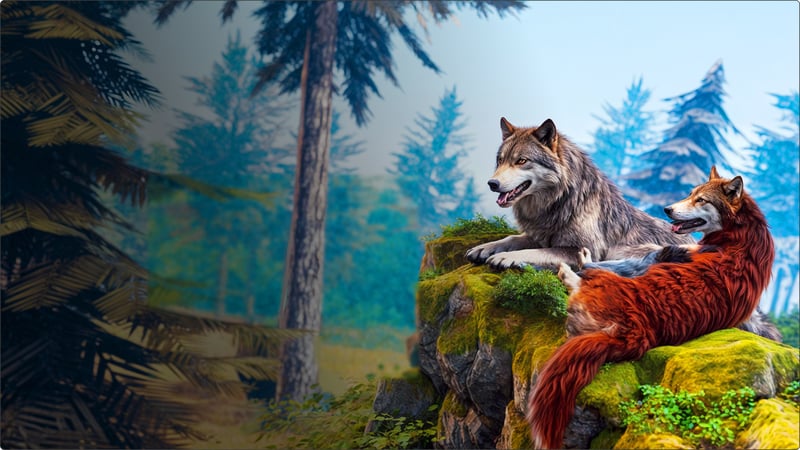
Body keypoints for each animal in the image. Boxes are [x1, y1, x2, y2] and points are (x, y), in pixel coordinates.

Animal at [466, 117, 779, 340]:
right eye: (501, 160)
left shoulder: (575, 247)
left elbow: (534, 252)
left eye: (522, 161)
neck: (559, 200)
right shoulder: (537, 234)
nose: (492, 183)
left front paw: (505, 258)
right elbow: (511, 238)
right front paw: (483, 248)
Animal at [527, 168, 775, 449]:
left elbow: (617, 262)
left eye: (701, 200)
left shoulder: (665, 253)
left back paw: (573, 269)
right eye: (690, 193)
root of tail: (634, 331)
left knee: (585, 274)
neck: (741, 235)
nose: (667, 209)